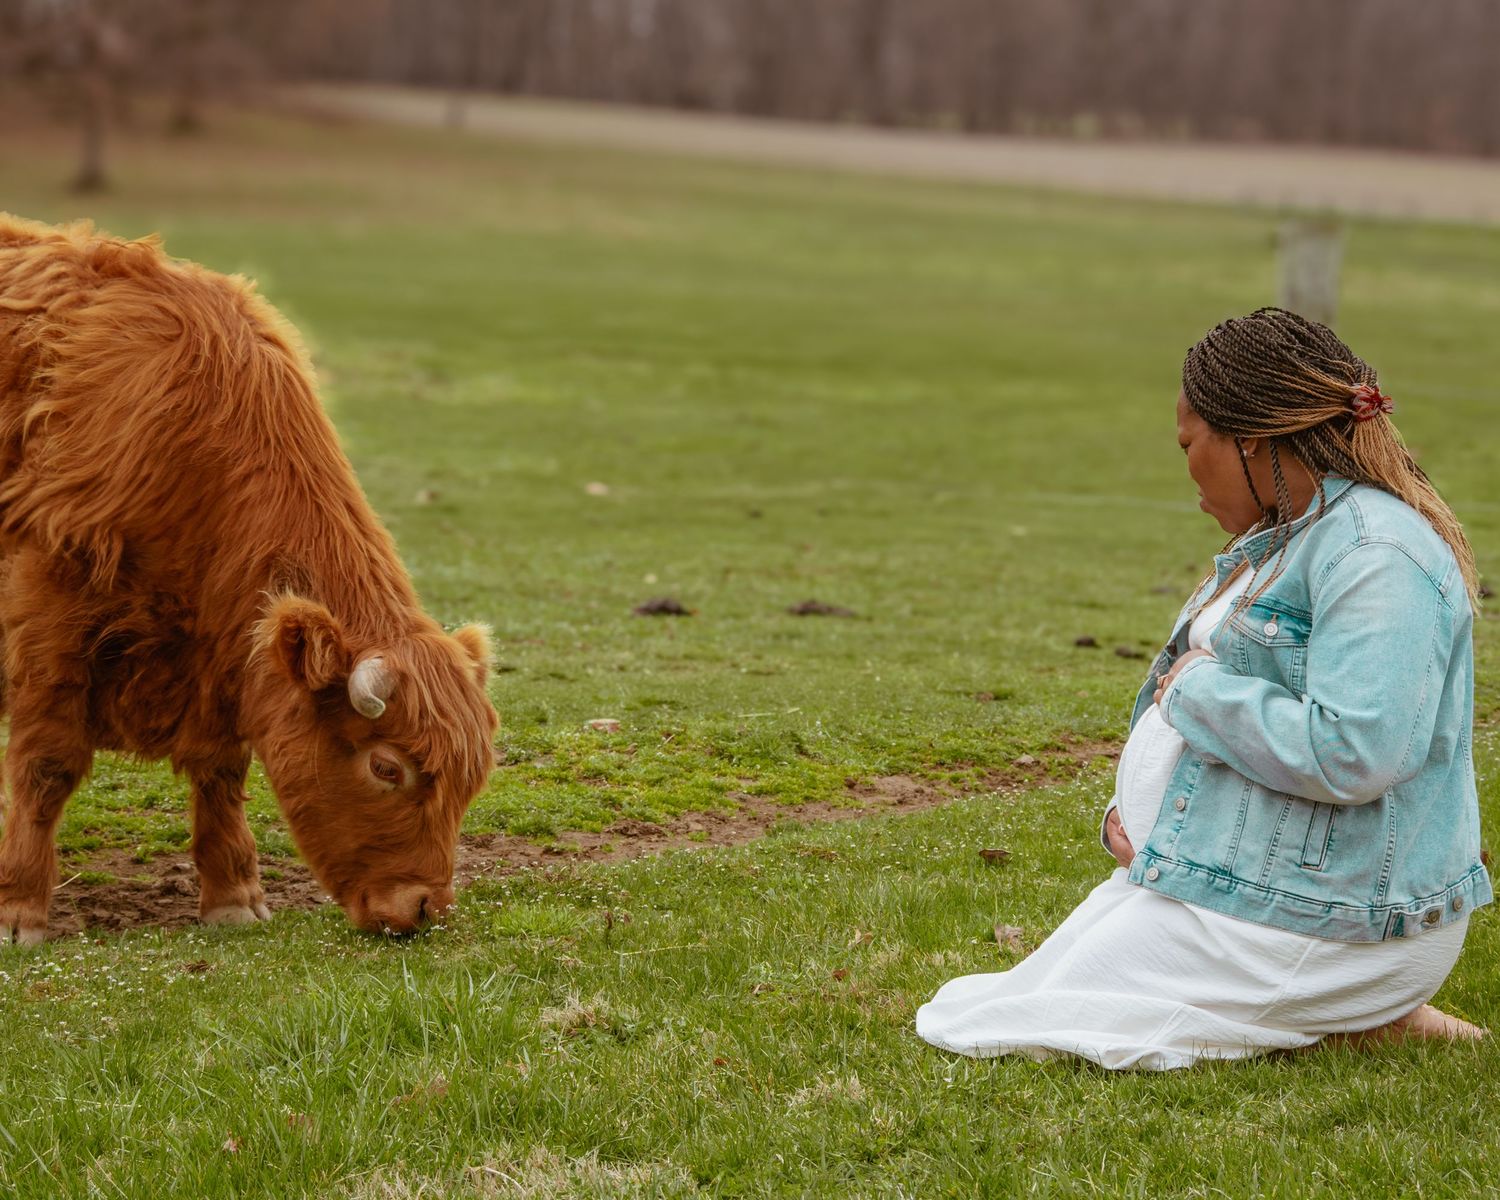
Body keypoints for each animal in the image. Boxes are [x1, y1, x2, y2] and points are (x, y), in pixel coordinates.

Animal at [0, 214, 499, 942]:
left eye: (471, 777)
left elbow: (221, 773)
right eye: (387, 766)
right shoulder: (49, 615)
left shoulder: (223, 655)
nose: (424, 907)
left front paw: (232, 894)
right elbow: (47, 764)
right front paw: (20, 909)